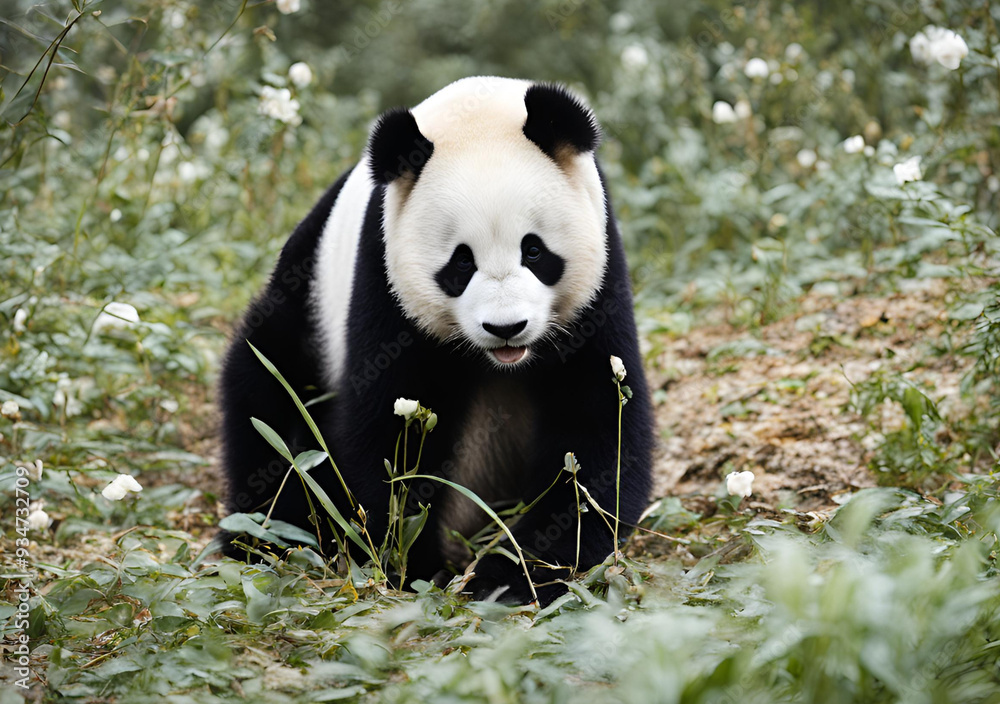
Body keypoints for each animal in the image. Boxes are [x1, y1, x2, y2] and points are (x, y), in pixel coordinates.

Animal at [218, 76, 653, 604]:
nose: (506, 328)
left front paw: (512, 575)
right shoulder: (386, 283)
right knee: (269, 402)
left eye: (533, 250)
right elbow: (390, 438)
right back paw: (263, 539)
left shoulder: (598, 286)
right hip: (307, 303)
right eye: (461, 262)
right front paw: (411, 566)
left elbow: (595, 430)